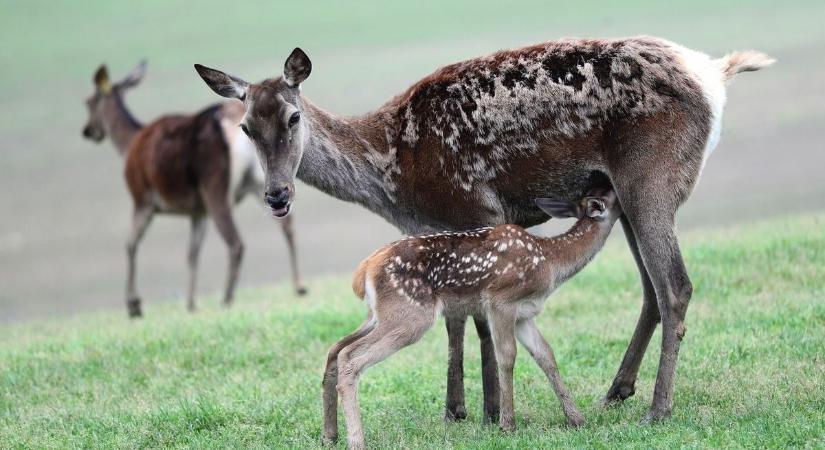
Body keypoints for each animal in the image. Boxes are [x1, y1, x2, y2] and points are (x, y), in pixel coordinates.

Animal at [82, 61, 308, 318]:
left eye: (88, 101)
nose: (88, 130)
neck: (128, 144)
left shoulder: (142, 199)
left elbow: (130, 245)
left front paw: (134, 305)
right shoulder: (197, 211)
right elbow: (192, 253)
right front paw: (190, 303)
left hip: (215, 186)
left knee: (236, 242)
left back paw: (226, 298)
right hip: (261, 181)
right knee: (287, 224)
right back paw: (299, 286)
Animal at [193, 37, 772, 422]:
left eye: (293, 118)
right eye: (246, 127)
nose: (276, 195)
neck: (392, 171)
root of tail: (715, 74)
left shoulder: (477, 208)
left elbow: (477, 323)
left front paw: (491, 410)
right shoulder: (445, 230)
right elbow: (455, 320)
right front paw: (458, 409)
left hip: (652, 178)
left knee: (675, 286)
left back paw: (658, 407)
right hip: (627, 196)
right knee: (651, 290)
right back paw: (616, 392)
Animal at [322, 188, 616, 448]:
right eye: (606, 194)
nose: (616, 187)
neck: (549, 261)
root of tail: (364, 270)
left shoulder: (524, 313)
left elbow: (546, 355)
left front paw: (576, 419)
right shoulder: (500, 301)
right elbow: (507, 356)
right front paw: (507, 424)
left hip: (378, 315)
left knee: (335, 349)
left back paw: (330, 435)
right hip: (410, 315)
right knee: (350, 356)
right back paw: (356, 441)